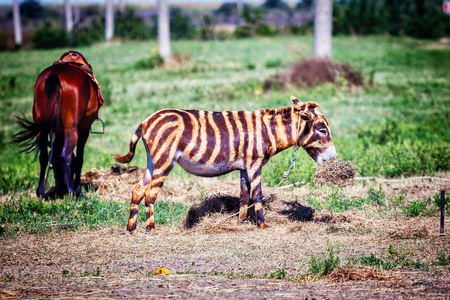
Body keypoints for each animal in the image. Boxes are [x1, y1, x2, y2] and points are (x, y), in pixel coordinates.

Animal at [13, 50, 103, 198]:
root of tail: (55, 75)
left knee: (44, 157)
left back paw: (41, 192)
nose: (60, 188)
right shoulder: (83, 130)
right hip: (71, 130)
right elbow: (79, 159)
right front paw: (77, 190)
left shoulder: (59, 133)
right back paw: (72, 193)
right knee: (64, 156)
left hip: (42, 128)